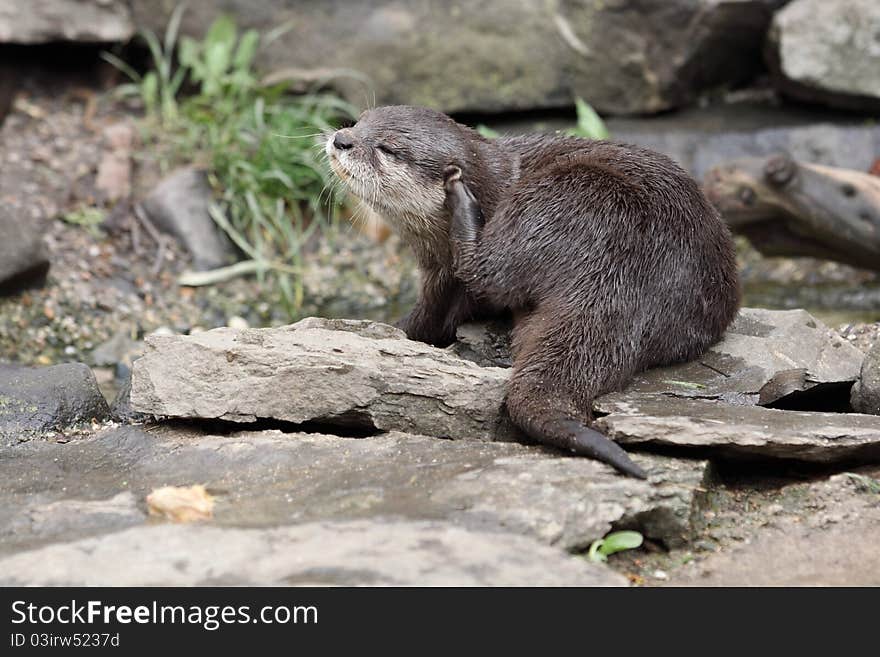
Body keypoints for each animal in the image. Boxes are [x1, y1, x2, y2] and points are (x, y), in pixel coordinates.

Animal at [326, 106, 740, 476]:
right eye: (360, 121)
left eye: (387, 148)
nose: (341, 139)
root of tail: (624, 268)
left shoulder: (441, 278)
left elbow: (432, 317)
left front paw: (396, 330)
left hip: (561, 194)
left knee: (485, 272)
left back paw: (463, 203)